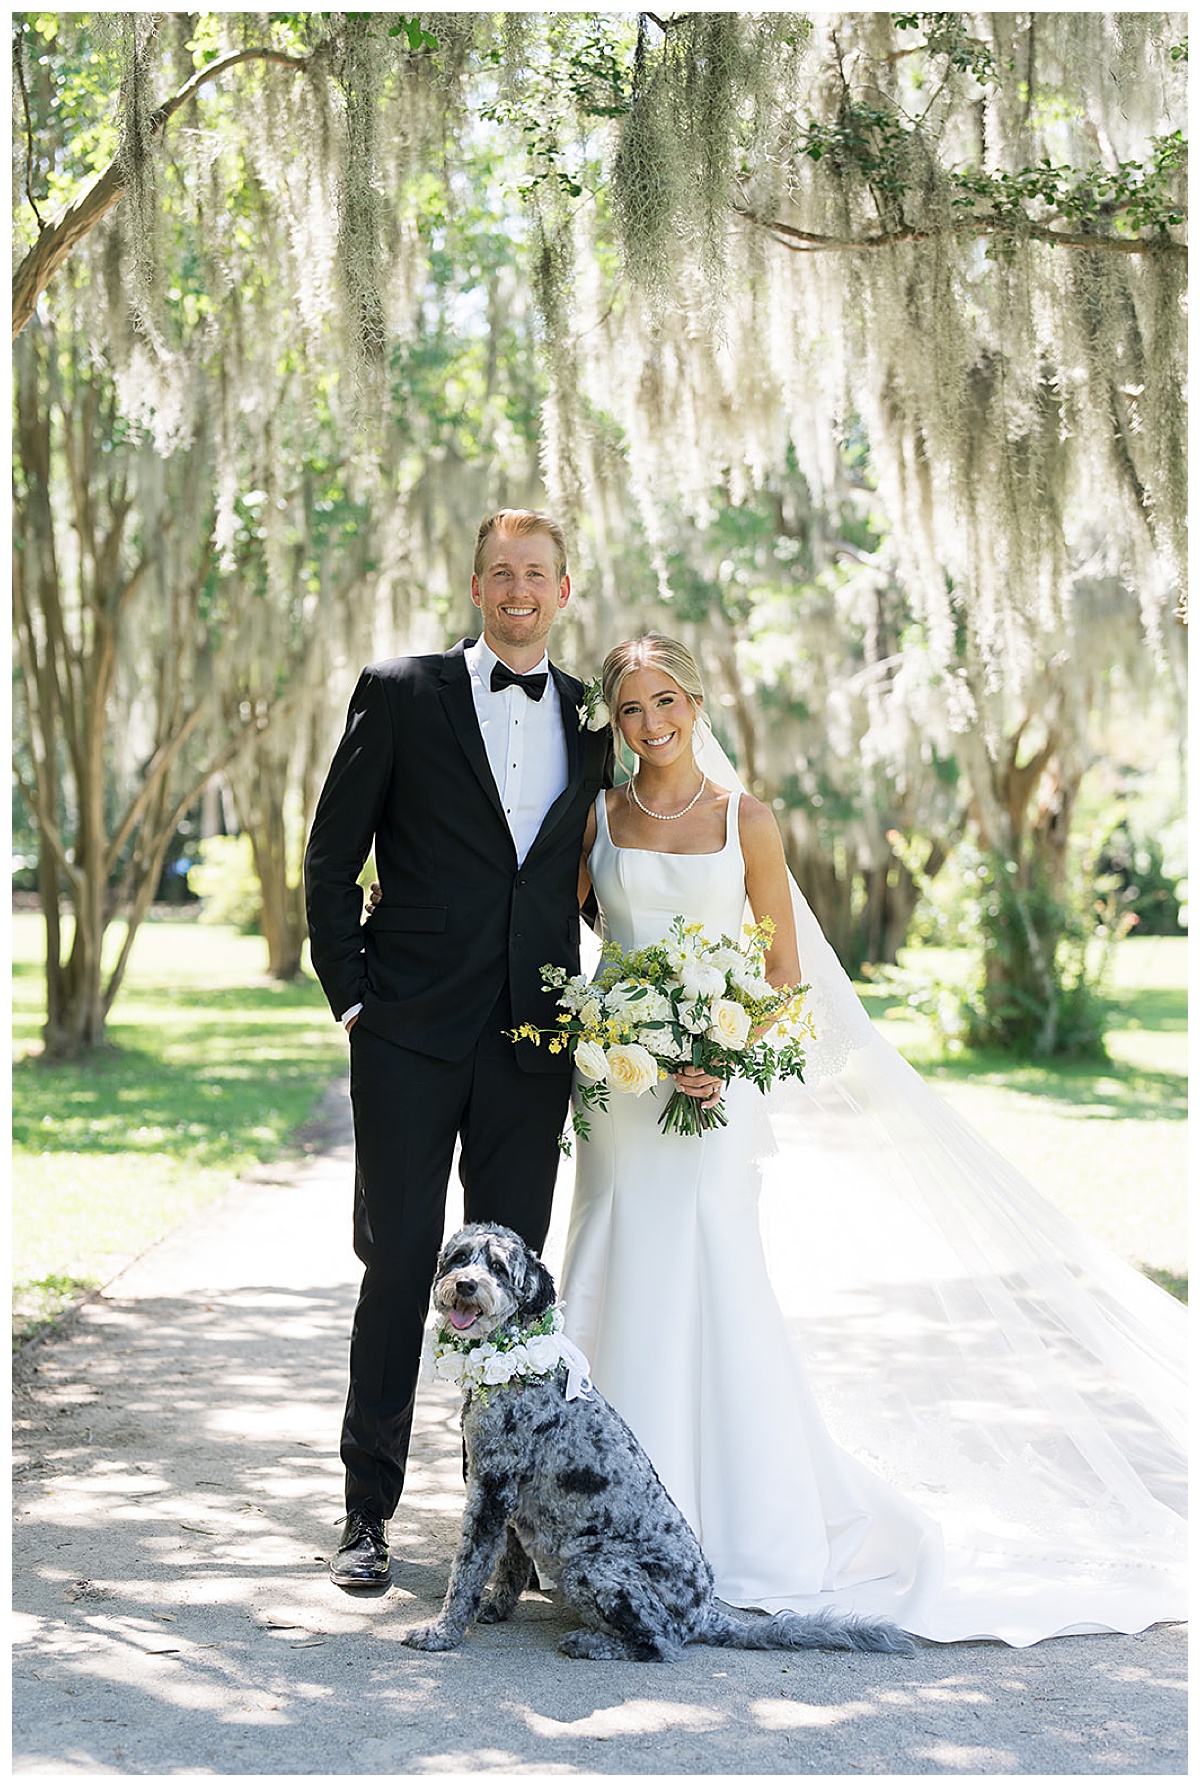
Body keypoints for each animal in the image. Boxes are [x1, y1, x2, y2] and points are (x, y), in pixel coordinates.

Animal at [403, 1215, 921, 1658]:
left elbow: (468, 1569)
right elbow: (507, 1565)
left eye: (497, 1267)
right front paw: (493, 1608)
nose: (466, 1285)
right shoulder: (510, 1497)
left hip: (592, 1566)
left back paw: (593, 1642)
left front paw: (442, 1631)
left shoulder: (492, 1489)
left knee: (660, 1642)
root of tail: (704, 1613)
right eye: (459, 1258)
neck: (515, 1366)